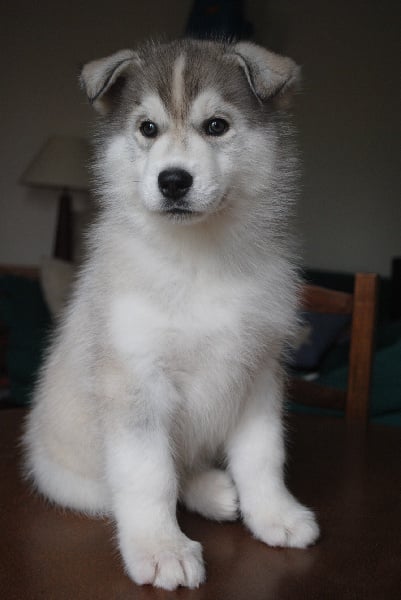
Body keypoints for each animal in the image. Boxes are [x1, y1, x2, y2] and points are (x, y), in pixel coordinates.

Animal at [23, 38, 319, 590]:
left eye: (216, 126)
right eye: (148, 128)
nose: (174, 181)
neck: (200, 258)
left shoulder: (258, 372)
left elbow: (263, 456)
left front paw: (275, 514)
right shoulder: (136, 381)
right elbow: (151, 476)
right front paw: (160, 548)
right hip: (74, 479)